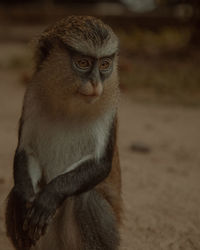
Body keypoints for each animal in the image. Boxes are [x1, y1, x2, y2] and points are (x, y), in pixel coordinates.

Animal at [5, 15, 122, 250]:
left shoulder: (109, 111)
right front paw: (24, 200)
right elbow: (26, 151)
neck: (68, 107)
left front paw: (49, 196)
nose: (95, 83)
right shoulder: (31, 96)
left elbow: (101, 164)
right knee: (14, 192)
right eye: (83, 63)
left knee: (84, 199)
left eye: (105, 65)